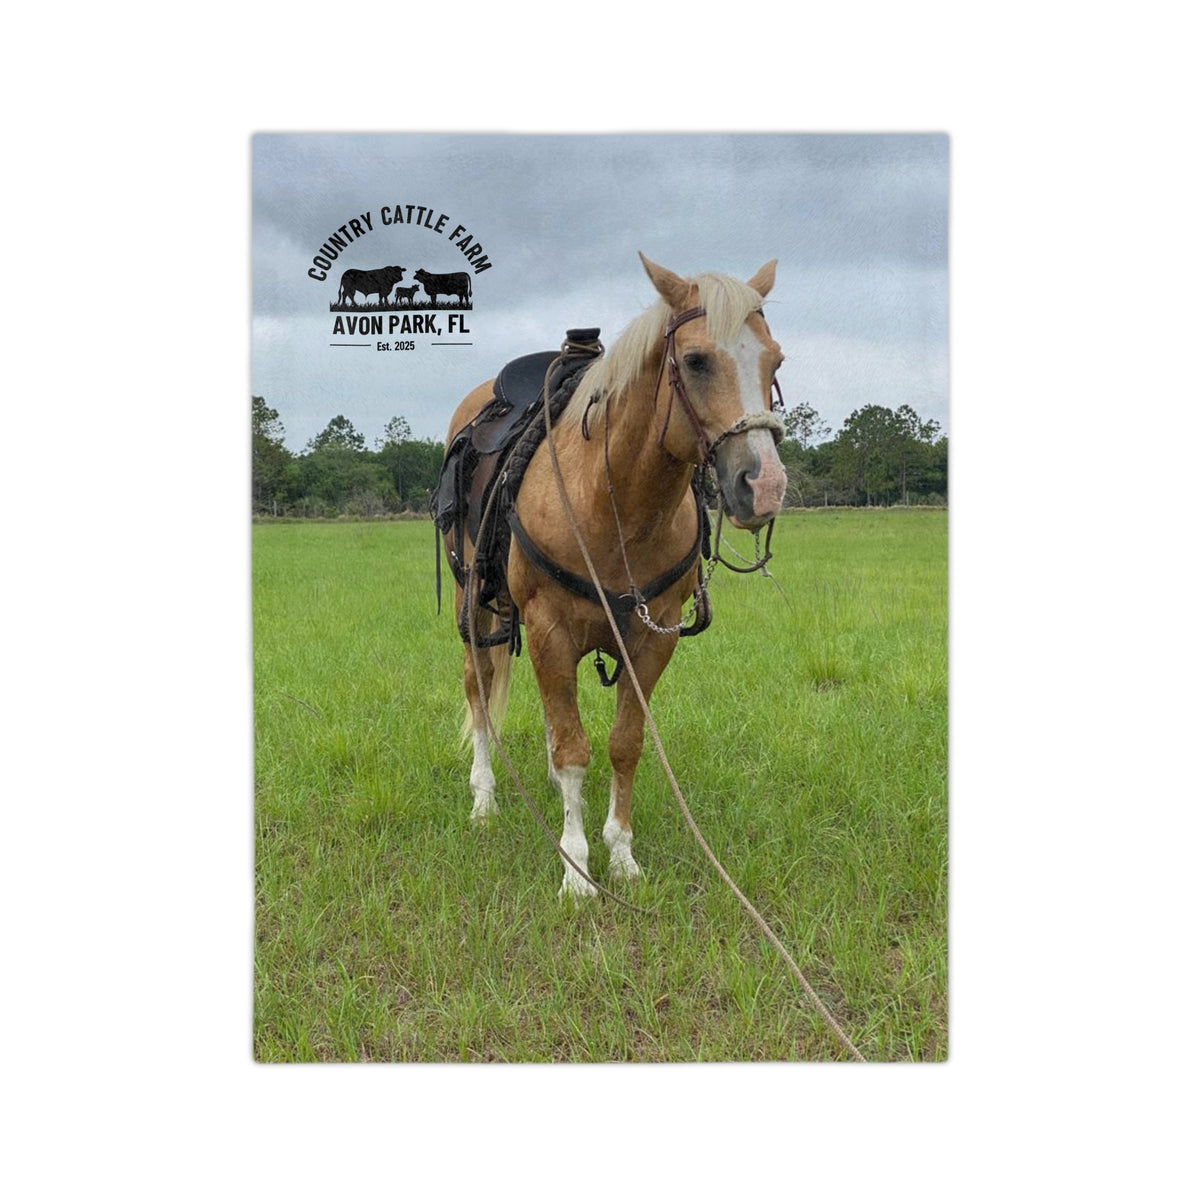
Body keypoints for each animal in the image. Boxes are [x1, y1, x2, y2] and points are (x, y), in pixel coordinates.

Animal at [441, 253, 788, 897]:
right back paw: (484, 800)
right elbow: (573, 750)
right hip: (473, 603)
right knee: (479, 688)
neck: (611, 501)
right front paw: (577, 871)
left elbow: (623, 745)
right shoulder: (549, 629)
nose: (765, 486)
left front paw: (621, 855)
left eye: (775, 360)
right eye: (696, 361)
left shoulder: (653, 639)